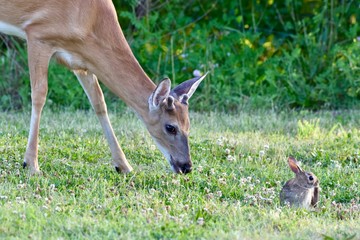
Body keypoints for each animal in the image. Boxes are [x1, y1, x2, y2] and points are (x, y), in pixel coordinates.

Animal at [0, 0, 207, 175]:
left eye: (189, 124)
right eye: (170, 127)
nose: (187, 166)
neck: (90, 20)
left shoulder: (81, 61)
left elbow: (99, 103)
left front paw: (123, 165)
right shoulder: (38, 34)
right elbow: (39, 95)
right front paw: (31, 165)